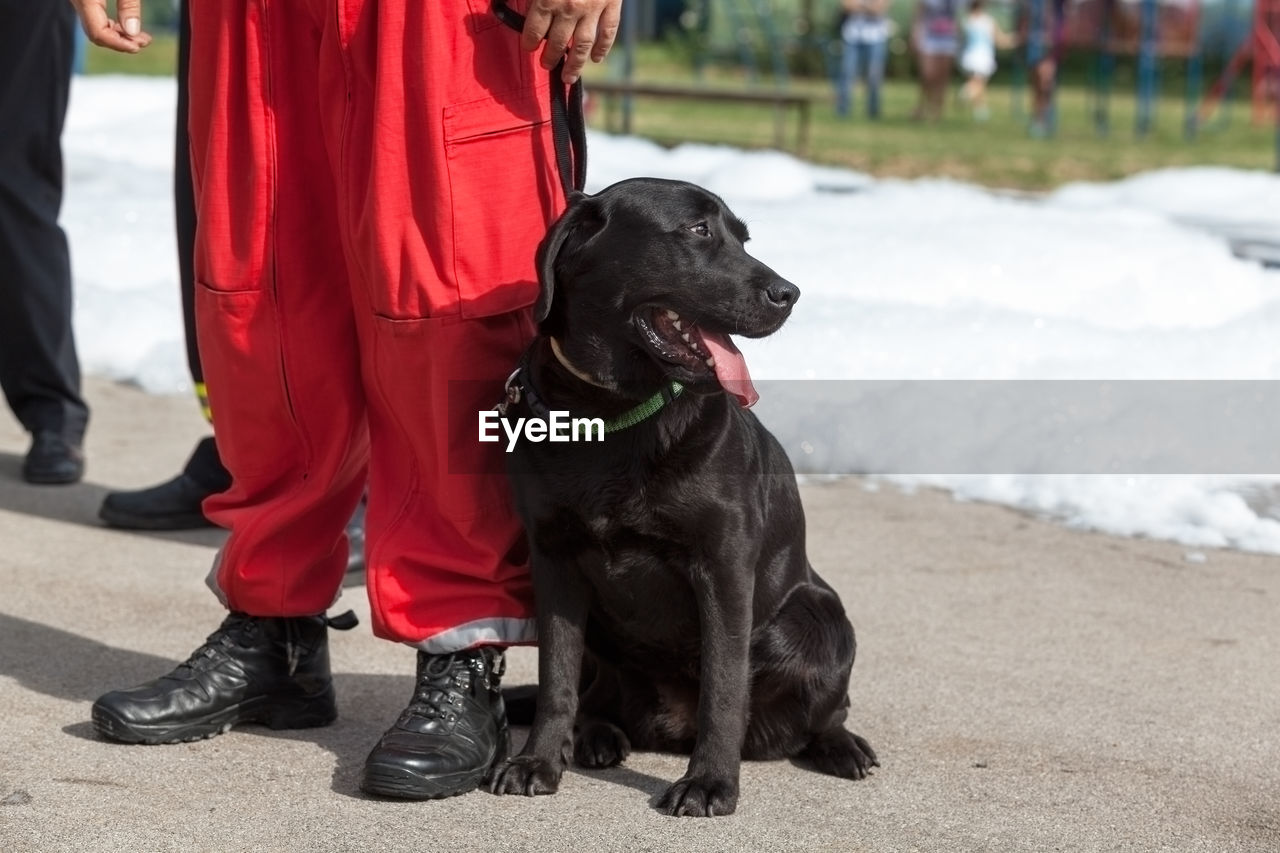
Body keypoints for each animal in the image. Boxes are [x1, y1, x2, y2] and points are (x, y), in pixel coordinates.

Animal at [483, 175, 875, 814]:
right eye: (698, 231)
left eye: (742, 238)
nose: (789, 293)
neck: (611, 417)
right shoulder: (554, 561)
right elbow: (556, 675)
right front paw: (537, 760)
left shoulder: (723, 565)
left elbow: (723, 685)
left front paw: (711, 782)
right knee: (594, 692)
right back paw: (595, 736)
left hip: (821, 618)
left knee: (826, 711)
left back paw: (842, 747)